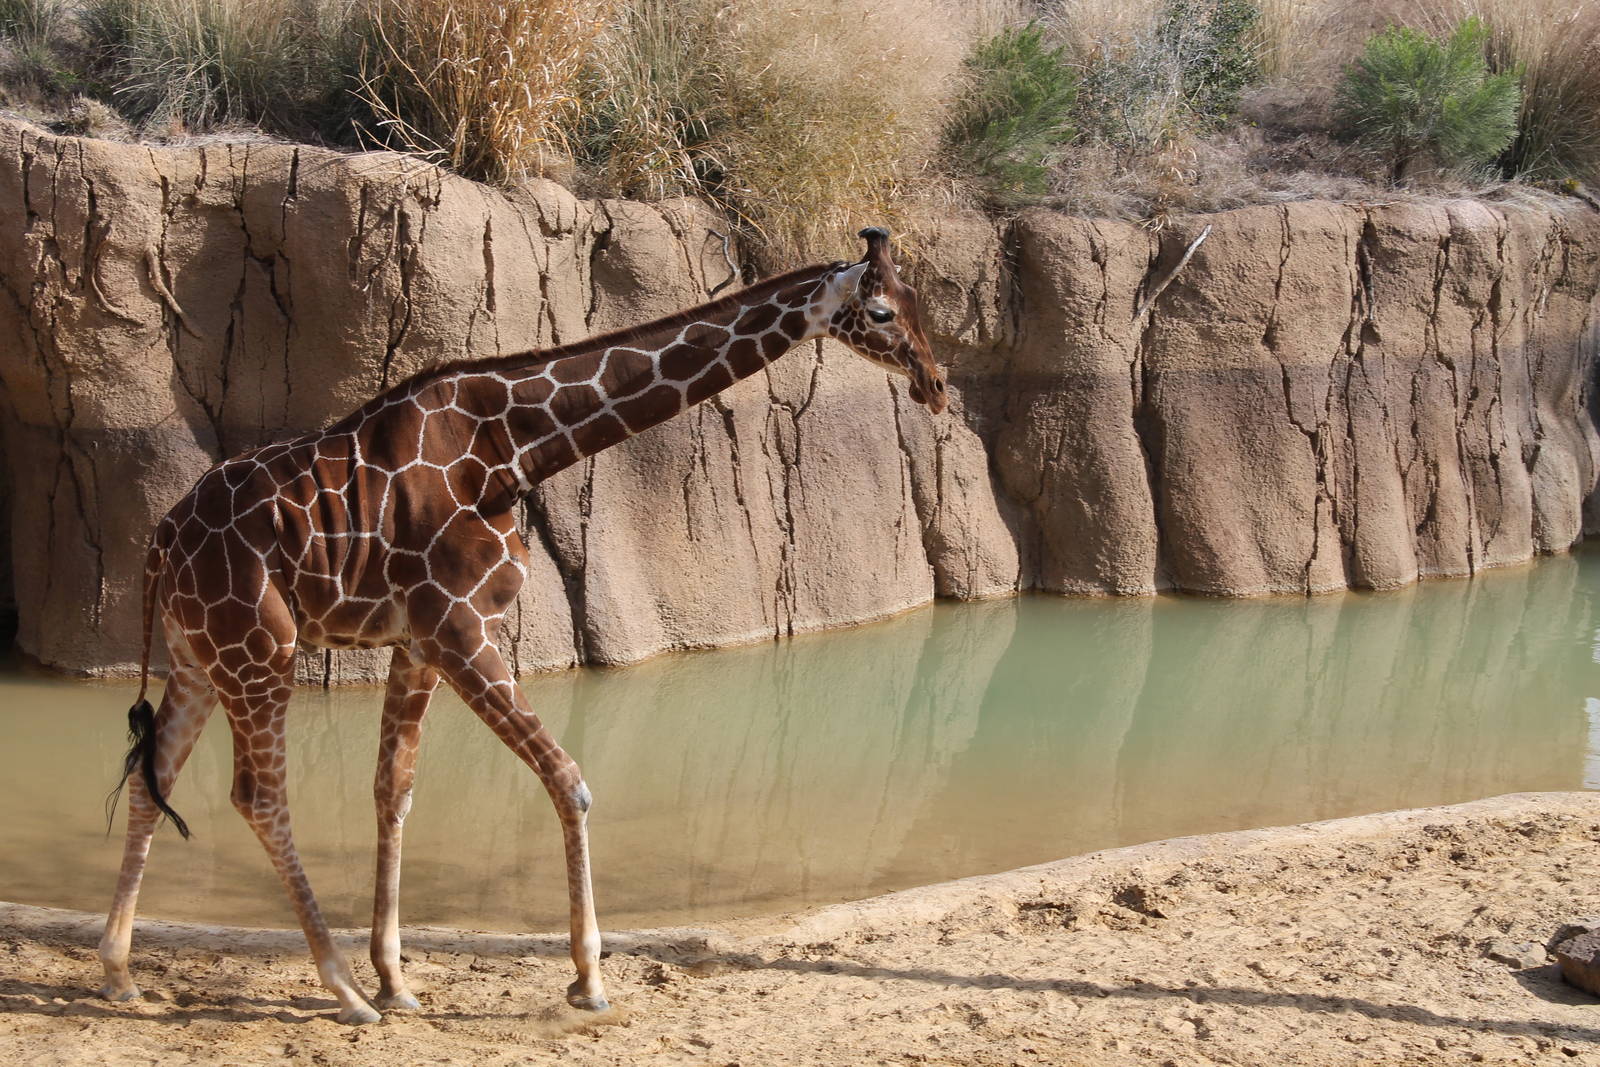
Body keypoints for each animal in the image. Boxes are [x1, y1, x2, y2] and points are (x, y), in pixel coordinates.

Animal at [97, 227, 945, 1024]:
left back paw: (120, 970)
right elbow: (569, 779)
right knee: (257, 796)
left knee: (151, 776)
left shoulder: (417, 643)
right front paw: (588, 980)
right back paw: (340, 989)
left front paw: (399, 978)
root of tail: (160, 540)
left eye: (917, 301)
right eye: (880, 310)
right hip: (260, 647)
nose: (936, 384)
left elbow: (393, 789)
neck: (514, 448)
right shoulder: (459, 626)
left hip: (199, 654)